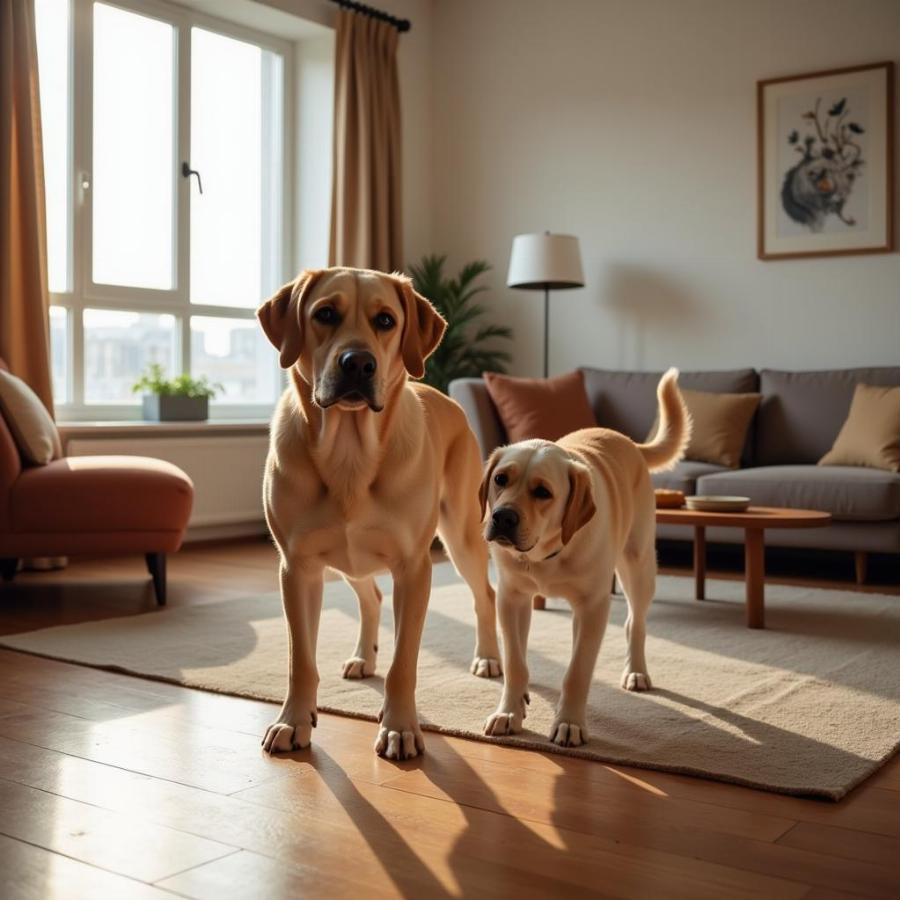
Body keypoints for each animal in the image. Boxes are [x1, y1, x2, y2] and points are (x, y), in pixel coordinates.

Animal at [256, 266, 502, 760]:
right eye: (324, 314)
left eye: (385, 320)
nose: (358, 364)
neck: (349, 455)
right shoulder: (298, 567)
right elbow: (300, 659)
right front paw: (294, 720)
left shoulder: (414, 568)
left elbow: (404, 661)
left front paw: (400, 726)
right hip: (345, 558)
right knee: (370, 597)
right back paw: (362, 656)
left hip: (462, 535)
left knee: (485, 594)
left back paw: (487, 657)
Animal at [478, 370, 688, 748]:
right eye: (500, 479)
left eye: (543, 492)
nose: (502, 517)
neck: (545, 555)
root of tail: (627, 440)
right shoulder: (511, 598)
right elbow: (515, 662)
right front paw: (509, 712)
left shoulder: (592, 607)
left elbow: (577, 672)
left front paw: (569, 723)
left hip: (638, 565)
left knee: (636, 622)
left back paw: (636, 671)